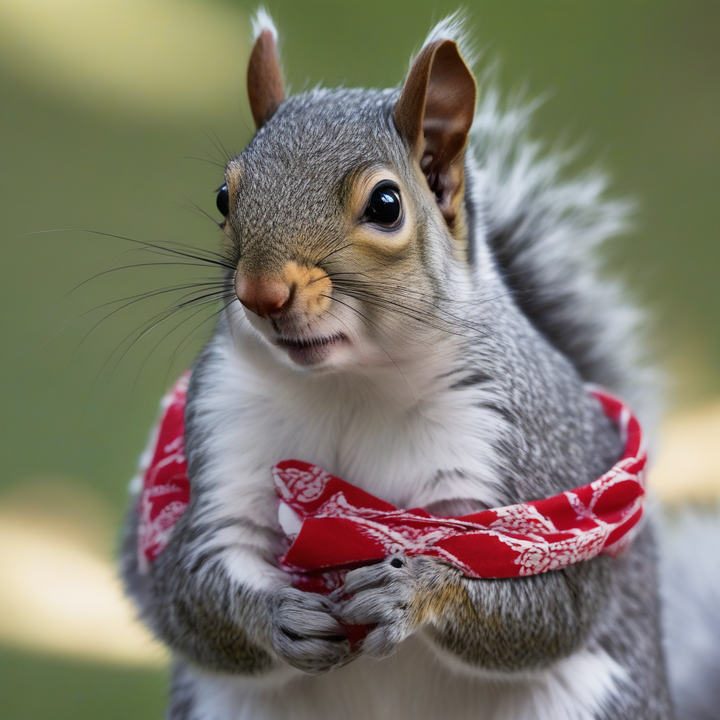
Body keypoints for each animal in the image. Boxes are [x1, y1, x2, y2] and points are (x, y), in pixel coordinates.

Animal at [121, 10, 679, 720]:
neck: (350, 385)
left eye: (386, 205)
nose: (262, 294)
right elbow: (189, 585)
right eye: (224, 196)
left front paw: (415, 589)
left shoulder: (525, 472)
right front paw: (278, 614)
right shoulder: (223, 434)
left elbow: (551, 607)